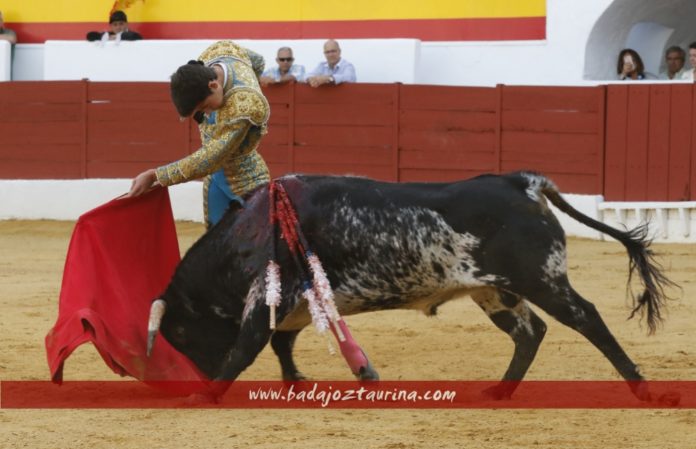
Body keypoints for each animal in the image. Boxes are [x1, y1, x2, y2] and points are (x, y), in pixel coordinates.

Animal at [147, 172, 676, 400]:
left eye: (182, 334)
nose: (195, 381)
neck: (254, 227)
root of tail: (522, 182)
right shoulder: (296, 301)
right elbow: (282, 342)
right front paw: (302, 380)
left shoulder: (268, 295)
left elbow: (248, 347)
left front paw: (209, 395)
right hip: (493, 290)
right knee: (530, 332)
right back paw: (499, 391)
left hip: (542, 278)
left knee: (586, 318)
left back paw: (642, 387)